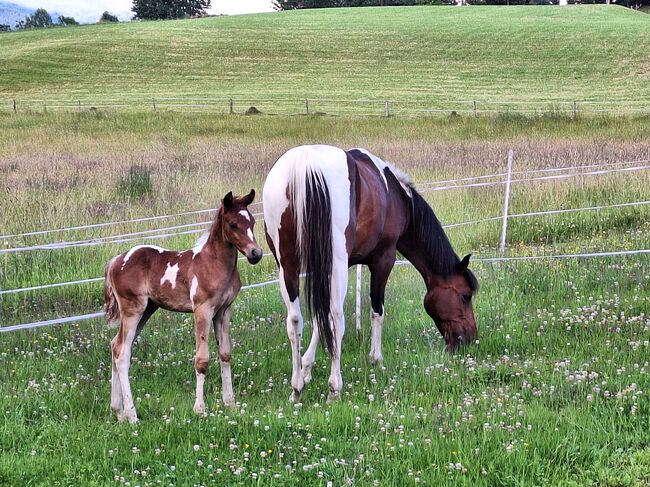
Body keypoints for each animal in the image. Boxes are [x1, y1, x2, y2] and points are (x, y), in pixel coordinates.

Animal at [104, 191, 260, 424]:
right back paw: (132, 415)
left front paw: (230, 404)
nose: (255, 254)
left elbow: (225, 354)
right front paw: (200, 409)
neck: (213, 263)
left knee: (116, 345)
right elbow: (202, 360)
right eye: (233, 224)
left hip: (147, 310)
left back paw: (118, 412)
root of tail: (117, 260)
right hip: (133, 310)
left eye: (252, 222)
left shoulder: (223, 312)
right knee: (122, 352)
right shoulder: (203, 310)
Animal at [260, 146, 478, 404]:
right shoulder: (383, 259)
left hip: (287, 265)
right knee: (337, 317)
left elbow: (318, 317)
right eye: (465, 296)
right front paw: (376, 359)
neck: (397, 197)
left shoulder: (326, 267)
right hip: (335, 262)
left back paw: (296, 388)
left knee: (295, 320)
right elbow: (376, 309)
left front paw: (306, 369)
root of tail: (307, 164)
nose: (470, 340)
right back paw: (334, 388)